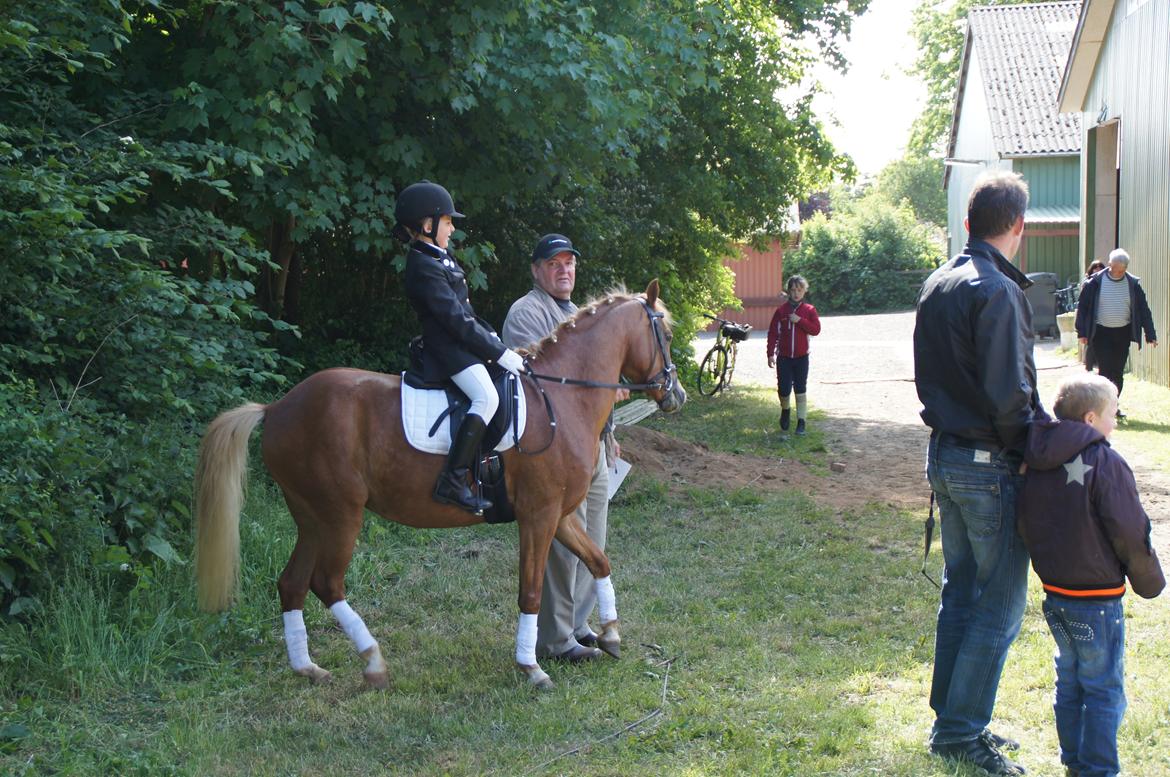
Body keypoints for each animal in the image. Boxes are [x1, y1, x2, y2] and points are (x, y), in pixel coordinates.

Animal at [193, 277, 683, 688]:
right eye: (668, 334)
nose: (676, 395)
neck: (561, 398)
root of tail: (277, 408)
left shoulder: (558, 515)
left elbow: (599, 560)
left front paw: (611, 634)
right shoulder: (538, 516)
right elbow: (530, 591)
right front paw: (531, 667)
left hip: (311, 516)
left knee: (292, 584)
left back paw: (308, 668)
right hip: (340, 515)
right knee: (326, 584)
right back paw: (373, 662)